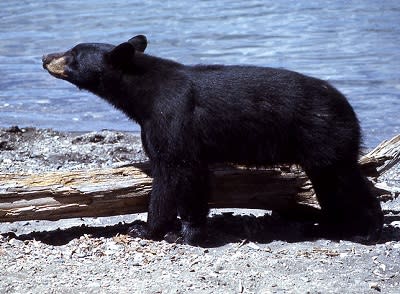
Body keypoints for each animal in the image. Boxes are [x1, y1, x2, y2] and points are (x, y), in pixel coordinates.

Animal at [42, 35, 382, 245]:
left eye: (73, 55)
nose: (45, 56)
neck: (142, 96)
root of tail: (349, 107)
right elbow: (192, 178)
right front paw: (181, 229)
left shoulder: (173, 118)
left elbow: (176, 172)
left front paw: (154, 230)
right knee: (331, 186)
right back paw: (330, 225)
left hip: (325, 136)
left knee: (344, 181)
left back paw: (368, 229)